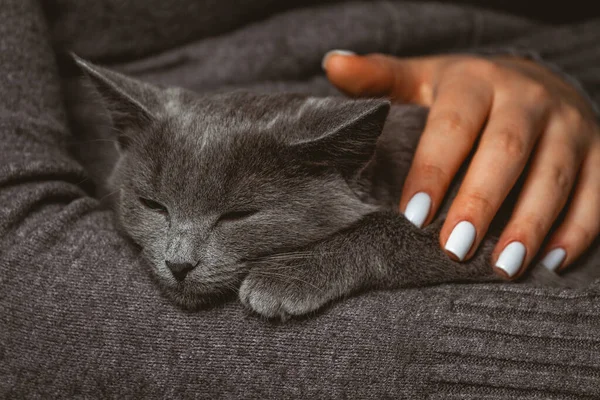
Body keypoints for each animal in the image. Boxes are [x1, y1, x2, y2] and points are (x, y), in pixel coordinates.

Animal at [65, 55, 596, 318]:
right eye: (152, 204)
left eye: (239, 215)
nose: (178, 264)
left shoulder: (510, 246)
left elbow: (402, 229)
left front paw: (287, 278)